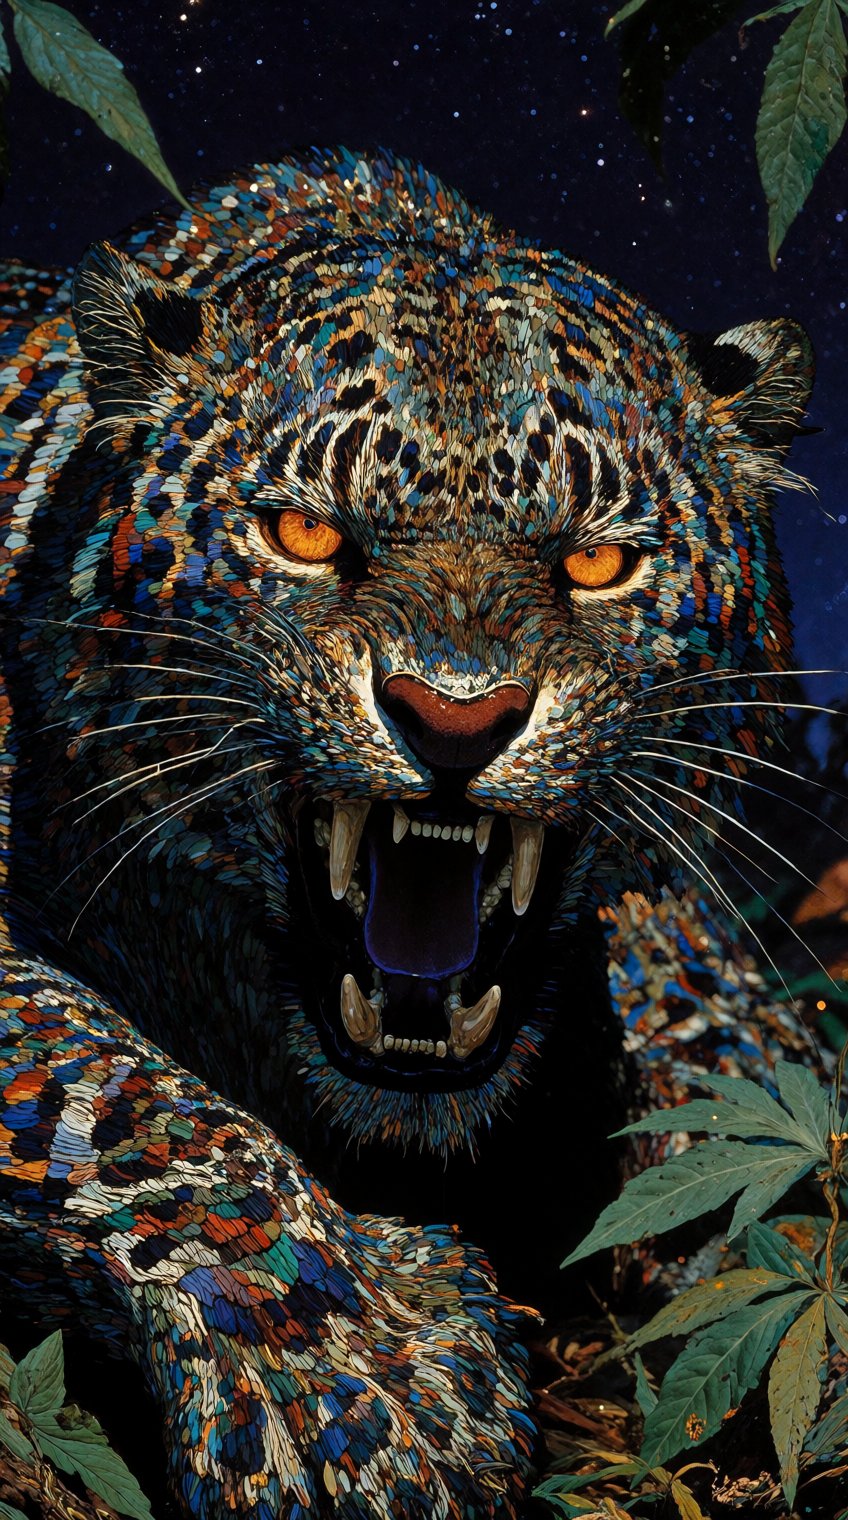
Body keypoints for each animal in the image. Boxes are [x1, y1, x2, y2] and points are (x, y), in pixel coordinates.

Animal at [0, 146, 821, 1518]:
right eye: (305, 534)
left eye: (594, 564)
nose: (454, 716)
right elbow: (109, 1082)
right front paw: (356, 1372)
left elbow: (702, 993)